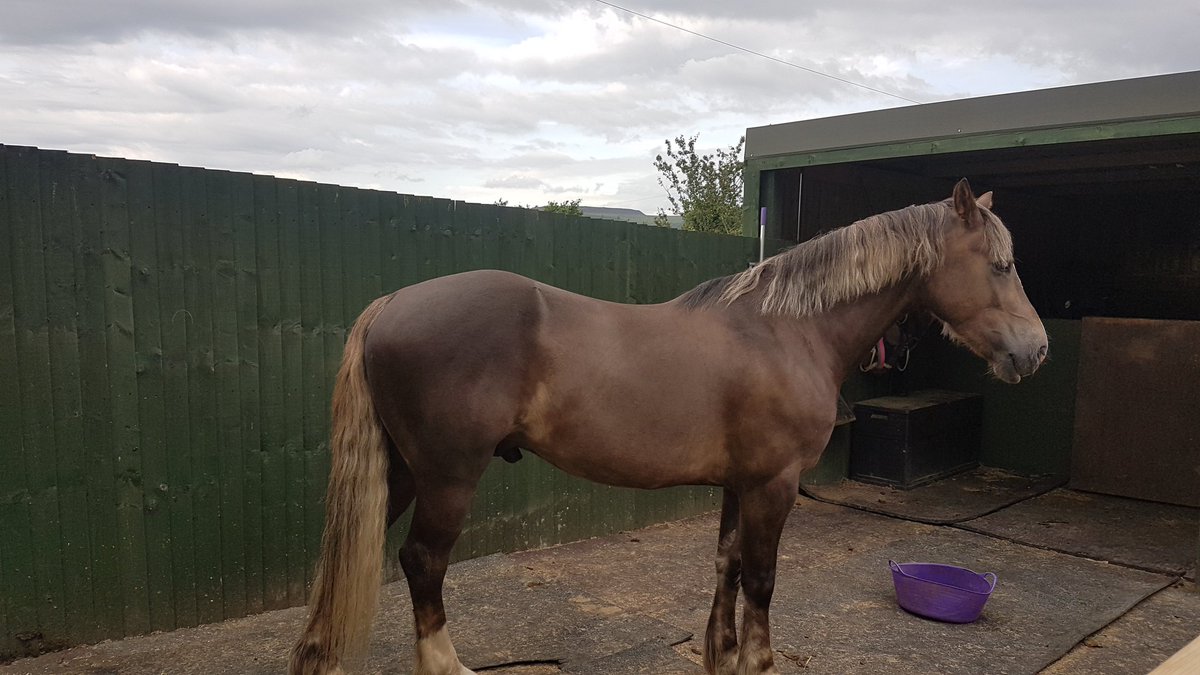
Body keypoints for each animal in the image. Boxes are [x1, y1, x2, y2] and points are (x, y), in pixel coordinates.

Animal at [288, 179, 1048, 675]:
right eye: (1001, 264)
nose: (1034, 351)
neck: (787, 330)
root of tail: (392, 302)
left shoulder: (741, 484)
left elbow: (728, 564)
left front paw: (721, 654)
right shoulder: (774, 485)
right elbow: (762, 579)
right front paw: (755, 661)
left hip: (401, 472)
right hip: (446, 476)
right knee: (423, 563)